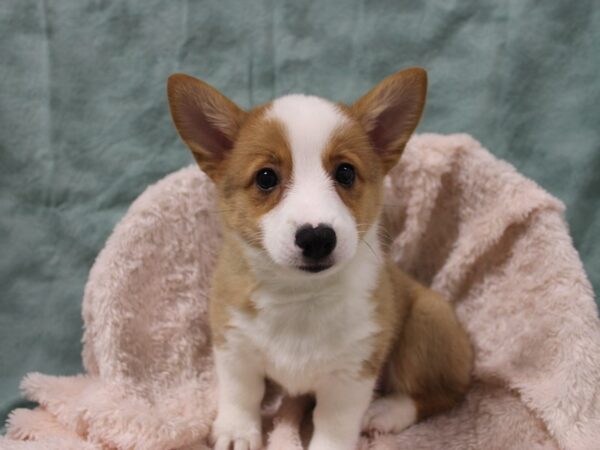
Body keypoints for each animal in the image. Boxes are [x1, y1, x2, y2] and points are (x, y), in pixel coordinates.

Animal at [166, 68, 472, 450]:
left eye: (345, 172)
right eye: (266, 177)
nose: (316, 237)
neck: (299, 297)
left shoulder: (351, 374)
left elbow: (334, 424)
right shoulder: (234, 346)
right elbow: (241, 394)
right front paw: (237, 431)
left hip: (428, 321)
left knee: (441, 393)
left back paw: (386, 412)